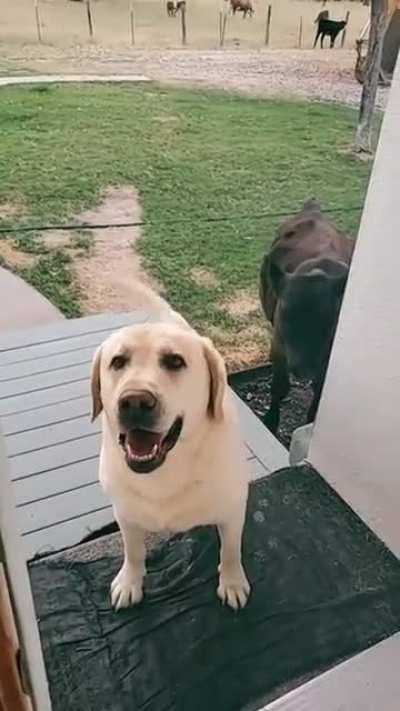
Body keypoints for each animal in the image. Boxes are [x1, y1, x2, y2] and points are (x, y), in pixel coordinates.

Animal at [259, 200, 354, 434]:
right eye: (286, 316)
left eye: (329, 322)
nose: (302, 368)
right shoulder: (279, 344)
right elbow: (280, 386)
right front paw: (271, 421)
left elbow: (320, 388)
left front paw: (312, 419)